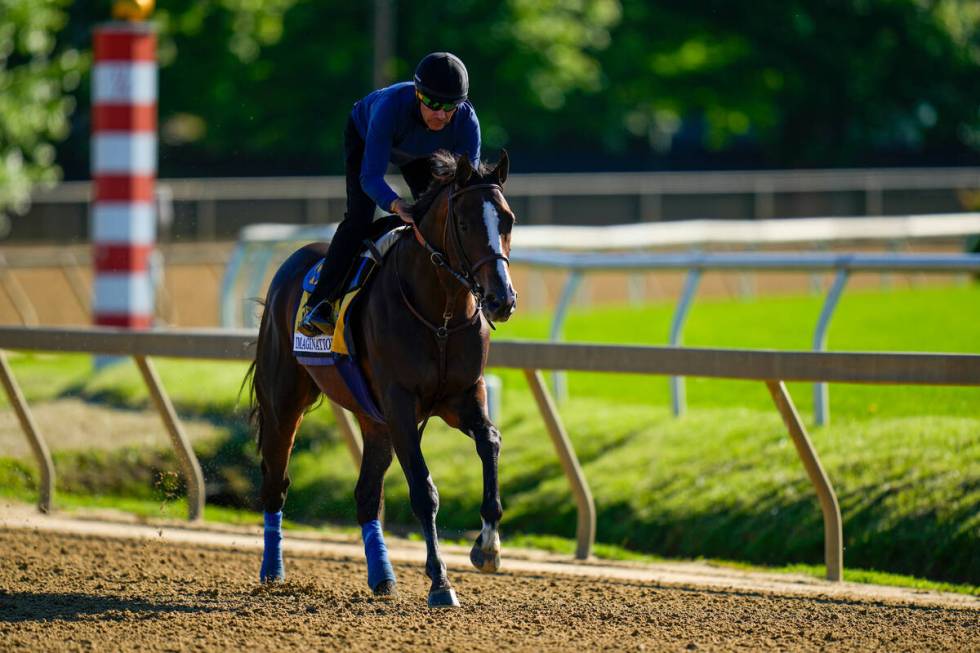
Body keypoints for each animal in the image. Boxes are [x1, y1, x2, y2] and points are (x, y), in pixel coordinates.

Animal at [245, 149, 516, 608]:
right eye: (464, 224)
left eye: (508, 221)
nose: (501, 299)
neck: (441, 316)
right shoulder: (401, 404)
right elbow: (424, 491)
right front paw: (440, 582)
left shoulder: (463, 396)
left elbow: (491, 441)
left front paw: (488, 548)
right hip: (284, 402)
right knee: (276, 481)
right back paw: (272, 571)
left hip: (373, 420)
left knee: (366, 495)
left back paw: (383, 577)